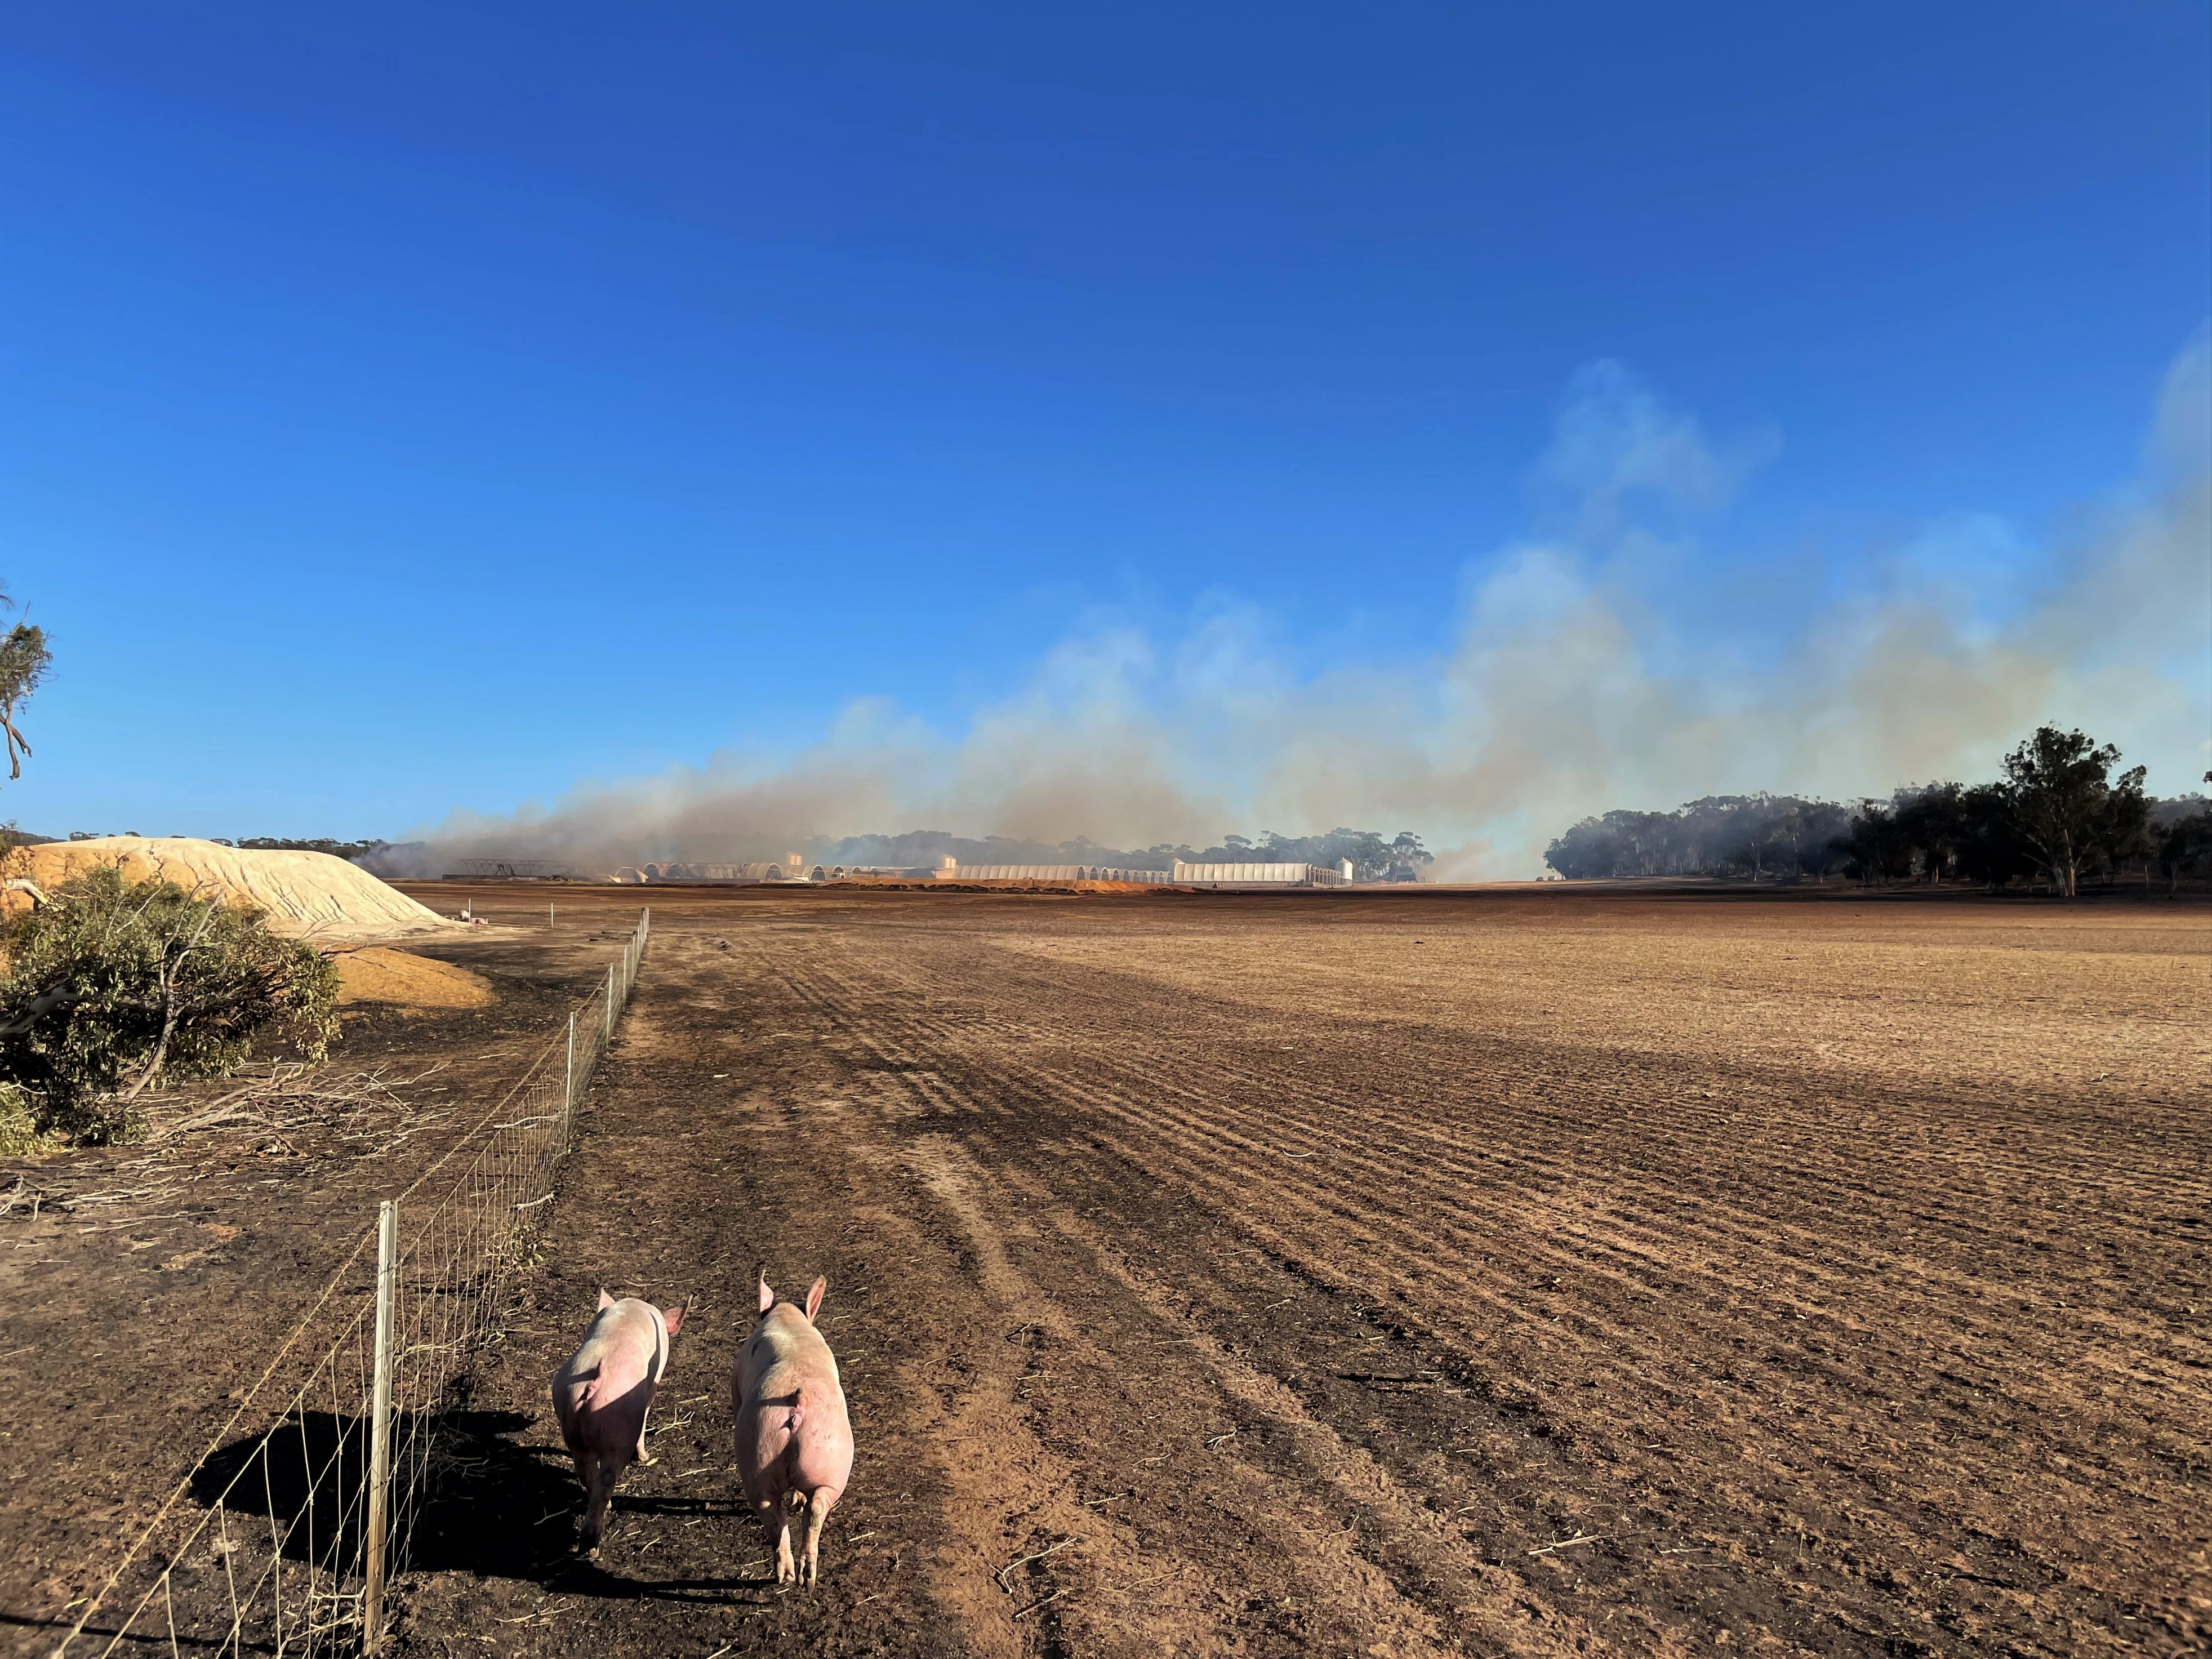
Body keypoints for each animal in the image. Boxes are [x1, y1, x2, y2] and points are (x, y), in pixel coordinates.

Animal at [550, 1290, 687, 1551]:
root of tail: (596, 1378)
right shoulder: (652, 1386)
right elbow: (647, 1412)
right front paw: (645, 1458)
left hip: (569, 1419)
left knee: (585, 1470)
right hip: (620, 1430)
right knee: (607, 1478)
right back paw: (592, 1546)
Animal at [732, 1265, 854, 1586]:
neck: (788, 1319)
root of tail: (797, 1402)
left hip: (758, 1452)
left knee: (776, 1517)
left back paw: (788, 1578)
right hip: (828, 1464)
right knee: (812, 1510)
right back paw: (802, 1579)